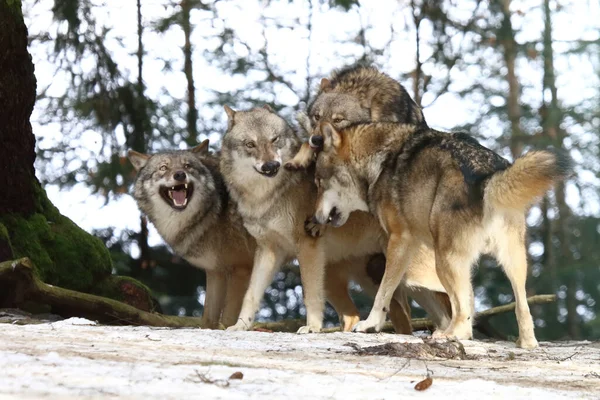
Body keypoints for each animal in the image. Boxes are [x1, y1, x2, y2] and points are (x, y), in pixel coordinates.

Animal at [219, 105, 450, 334]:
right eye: (250, 144)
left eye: (274, 139)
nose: (271, 166)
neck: (267, 196)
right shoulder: (268, 250)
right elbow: (251, 295)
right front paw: (240, 325)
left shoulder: (307, 247)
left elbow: (310, 295)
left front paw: (312, 327)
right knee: (362, 315)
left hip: (412, 275)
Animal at [312, 120, 568, 348]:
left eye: (318, 183)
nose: (315, 218)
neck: (378, 163)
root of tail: (486, 177)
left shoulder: (399, 240)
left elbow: (384, 292)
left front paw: (370, 324)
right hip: (511, 261)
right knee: (519, 308)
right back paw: (525, 343)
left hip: (445, 260)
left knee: (464, 319)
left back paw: (447, 335)